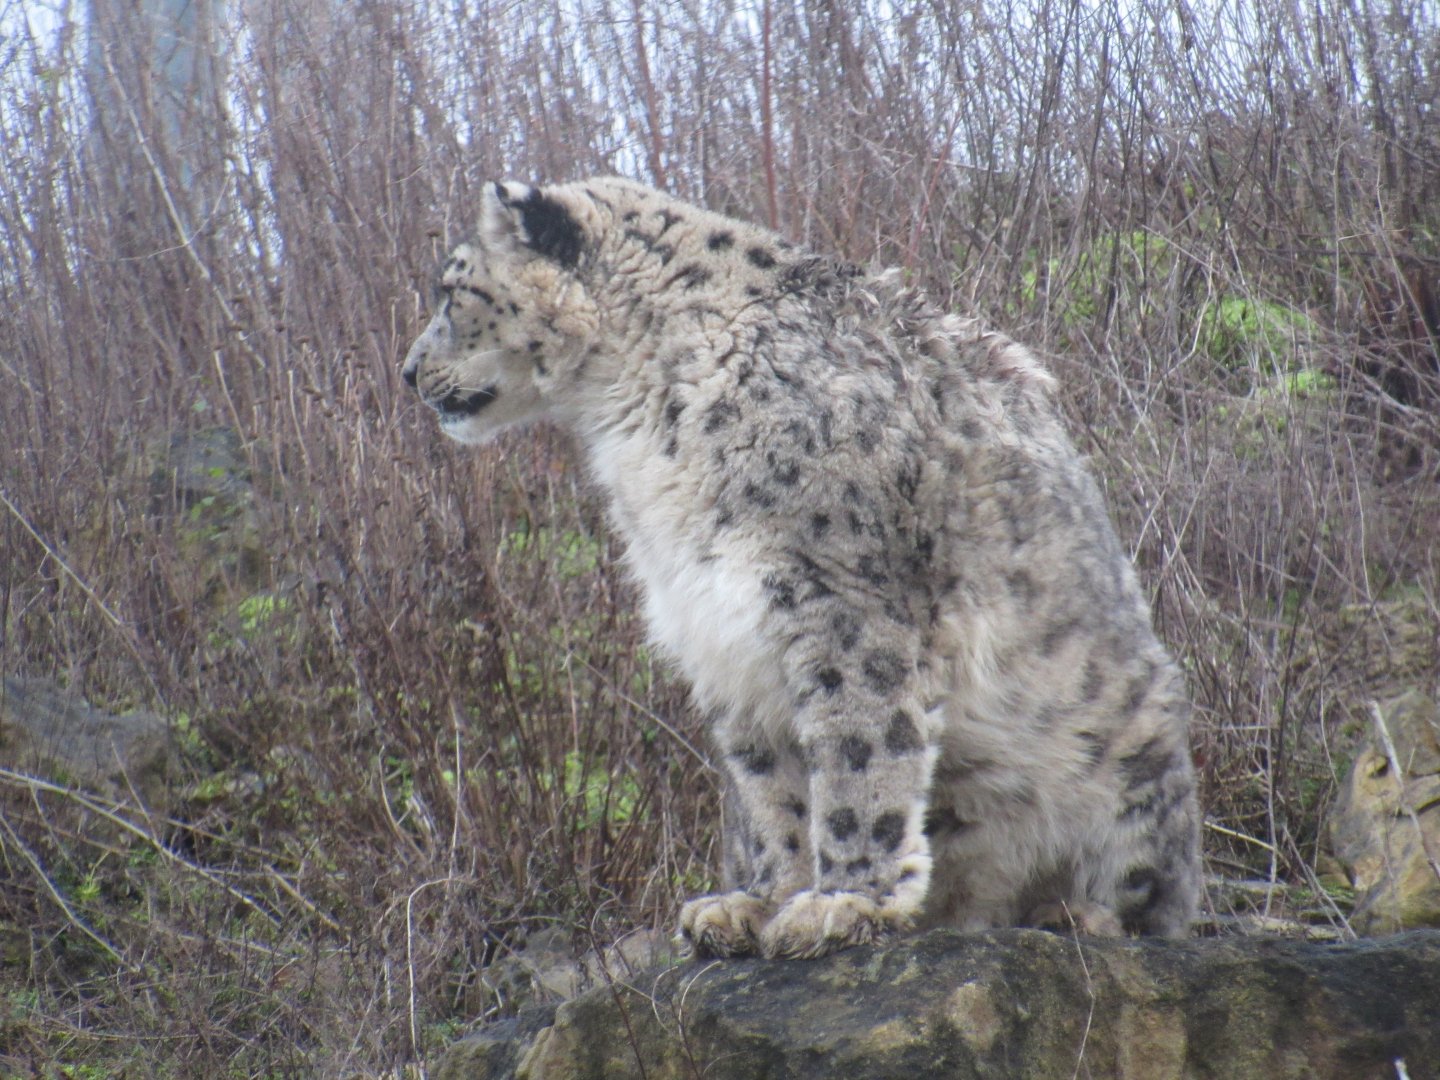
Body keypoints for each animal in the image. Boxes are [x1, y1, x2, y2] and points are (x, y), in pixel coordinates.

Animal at [401, 176, 1201, 960]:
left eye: (450, 290)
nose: (409, 372)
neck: (641, 426)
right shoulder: (714, 619)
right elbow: (769, 779)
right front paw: (758, 901)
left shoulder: (842, 597)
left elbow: (859, 747)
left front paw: (845, 900)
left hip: (1132, 750)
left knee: (1157, 898)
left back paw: (1076, 913)